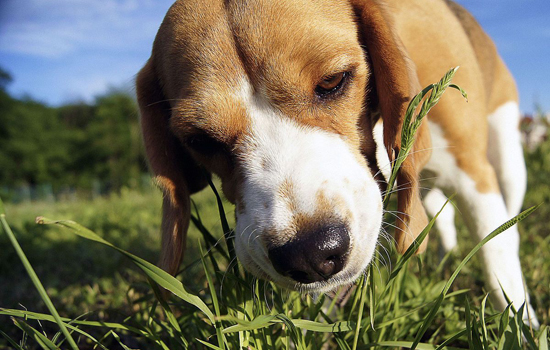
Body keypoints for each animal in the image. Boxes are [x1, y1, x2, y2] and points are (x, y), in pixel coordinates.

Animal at [137, 0, 540, 324]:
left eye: (333, 81)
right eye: (200, 140)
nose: (309, 254)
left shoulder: (473, 173)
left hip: (507, 157)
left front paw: (520, 326)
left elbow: (497, 254)